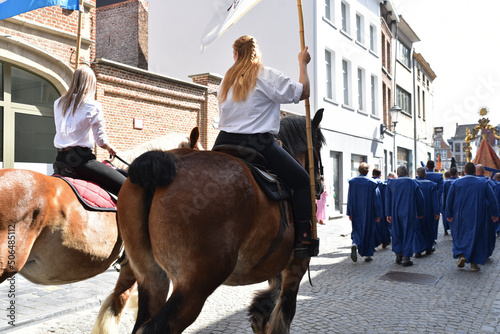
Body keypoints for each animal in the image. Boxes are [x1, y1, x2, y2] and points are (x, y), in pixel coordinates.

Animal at [113, 108, 324, 332]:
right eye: (319, 143)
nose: (320, 185)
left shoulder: (275, 265)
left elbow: (266, 307)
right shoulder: (295, 267)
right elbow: (282, 313)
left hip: (151, 277)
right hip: (194, 287)